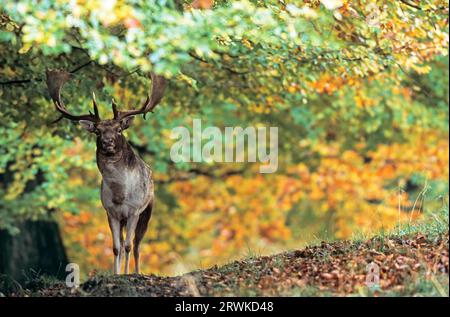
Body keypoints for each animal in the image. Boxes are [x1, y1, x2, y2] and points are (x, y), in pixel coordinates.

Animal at [45, 69, 167, 274]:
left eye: (119, 129)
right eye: (97, 131)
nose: (107, 142)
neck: (120, 194)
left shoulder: (134, 211)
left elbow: (128, 246)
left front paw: (126, 274)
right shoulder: (110, 212)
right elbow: (116, 247)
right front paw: (116, 274)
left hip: (147, 210)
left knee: (137, 245)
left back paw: (137, 272)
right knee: (127, 243)